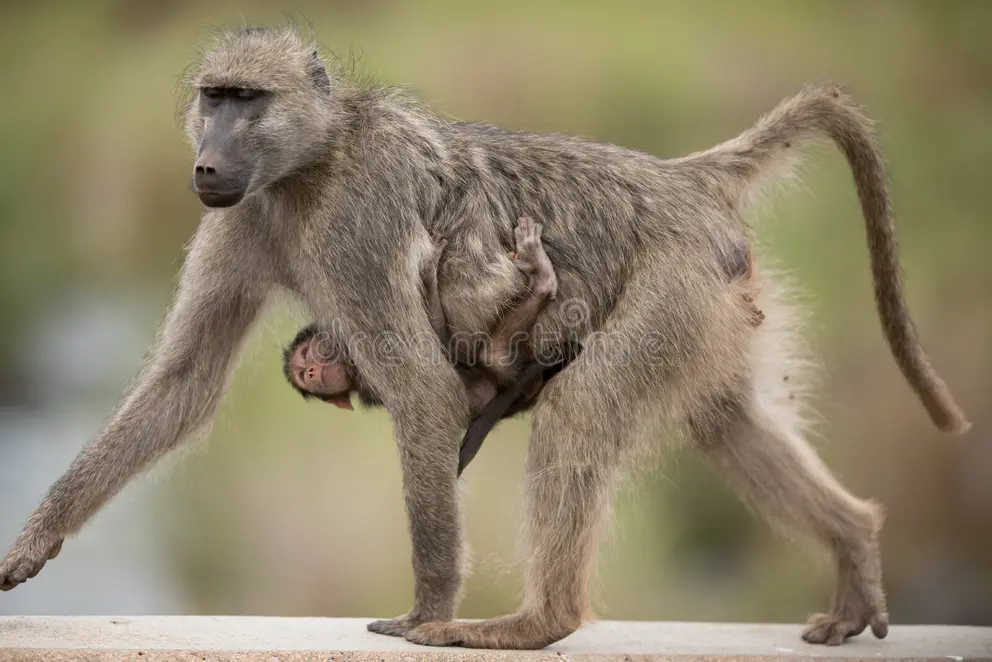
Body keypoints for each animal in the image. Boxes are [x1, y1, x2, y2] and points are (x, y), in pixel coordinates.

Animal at [0, 26, 970, 654]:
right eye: (213, 98)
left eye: (250, 100)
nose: (206, 162)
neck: (312, 164)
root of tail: (680, 179)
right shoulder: (242, 217)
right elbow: (183, 386)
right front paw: (31, 546)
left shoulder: (356, 224)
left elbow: (425, 393)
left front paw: (425, 610)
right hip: (713, 308)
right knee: (727, 424)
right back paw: (853, 546)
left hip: (676, 286)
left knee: (582, 409)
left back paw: (535, 625)